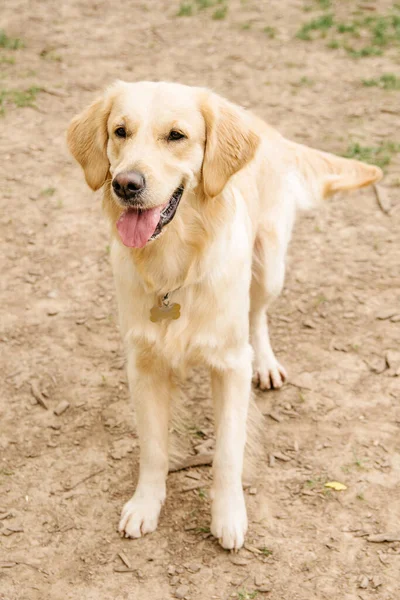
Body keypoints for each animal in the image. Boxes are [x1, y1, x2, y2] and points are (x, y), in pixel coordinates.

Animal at [68, 82, 382, 552]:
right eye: (120, 131)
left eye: (176, 136)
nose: (126, 183)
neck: (174, 267)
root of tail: (261, 124)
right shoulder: (143, 364)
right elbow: (153, 447)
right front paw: (145, 505)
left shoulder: (230, 365)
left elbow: (228, 452)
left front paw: (228, 515)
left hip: (269, 267)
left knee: (258, 315)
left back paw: (265, 363)